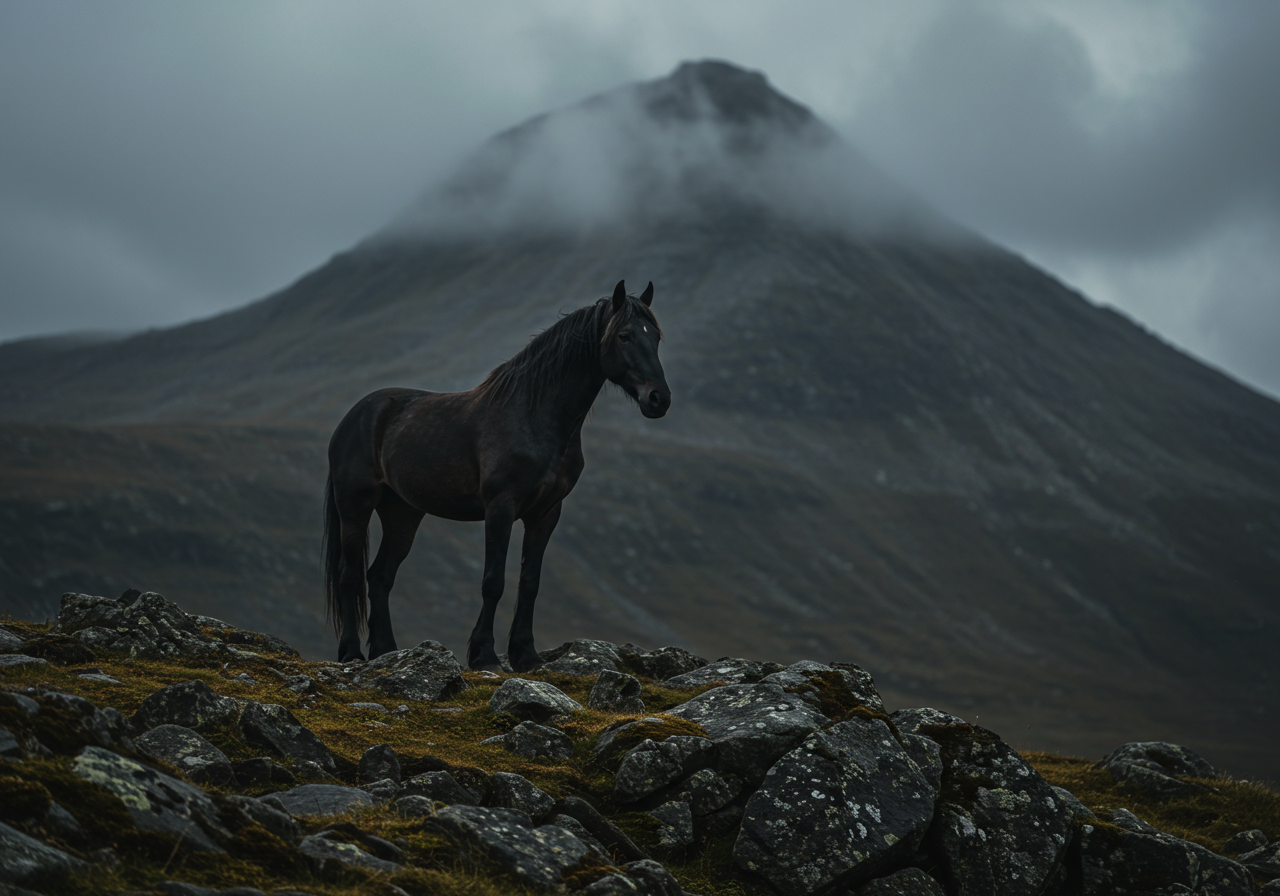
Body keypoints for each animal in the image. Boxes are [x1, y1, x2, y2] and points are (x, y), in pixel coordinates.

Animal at [322, 280, 670, 671]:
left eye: (656, 336)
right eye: (624, 336)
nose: (659, 399)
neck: (533, 416)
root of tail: (356, 414)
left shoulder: (545, 514)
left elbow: (529, 582)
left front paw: (526, 654)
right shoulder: (500, 508)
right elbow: (494, 581)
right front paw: (484, 655)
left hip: (402, 513)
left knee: (380, 577)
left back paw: (385, 651)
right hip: (354, 506)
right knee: (350, 576)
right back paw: (351, 652)